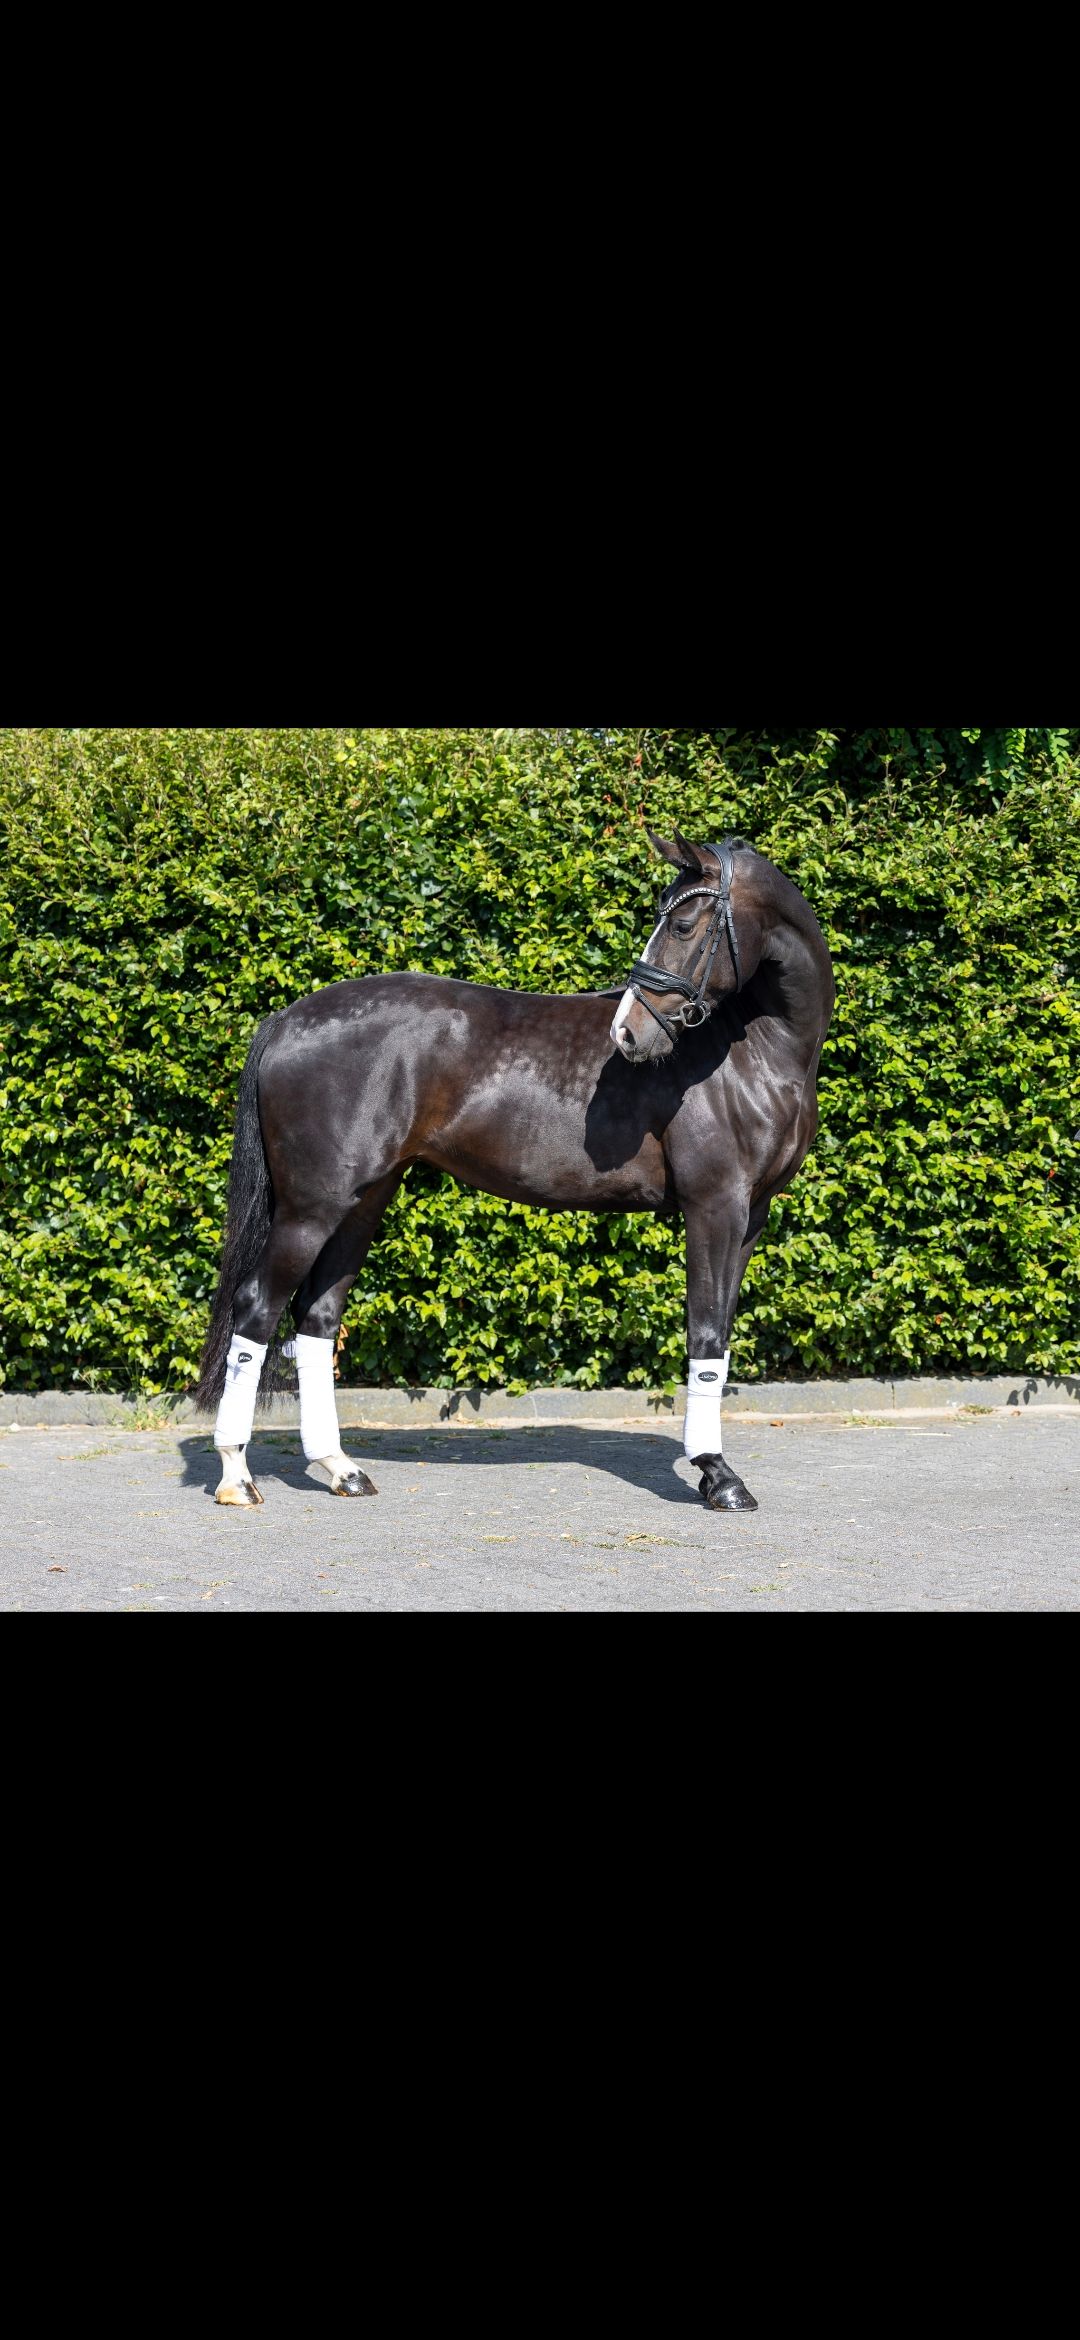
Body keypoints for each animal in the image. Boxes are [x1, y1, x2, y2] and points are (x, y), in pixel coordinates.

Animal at [193, 829, 835, 1511]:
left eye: (684, 924)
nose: (628, 1032)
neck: (753, 1051)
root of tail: (286, 1021)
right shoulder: (714, 1206)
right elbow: (707, 1334)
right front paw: (718, 1475)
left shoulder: (750, 1215)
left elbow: (722, 1333)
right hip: (312, 1208)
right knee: (257, 1309)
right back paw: (236, 1474)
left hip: (363, 1201)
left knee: (316, 1318)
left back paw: (340, 1468)